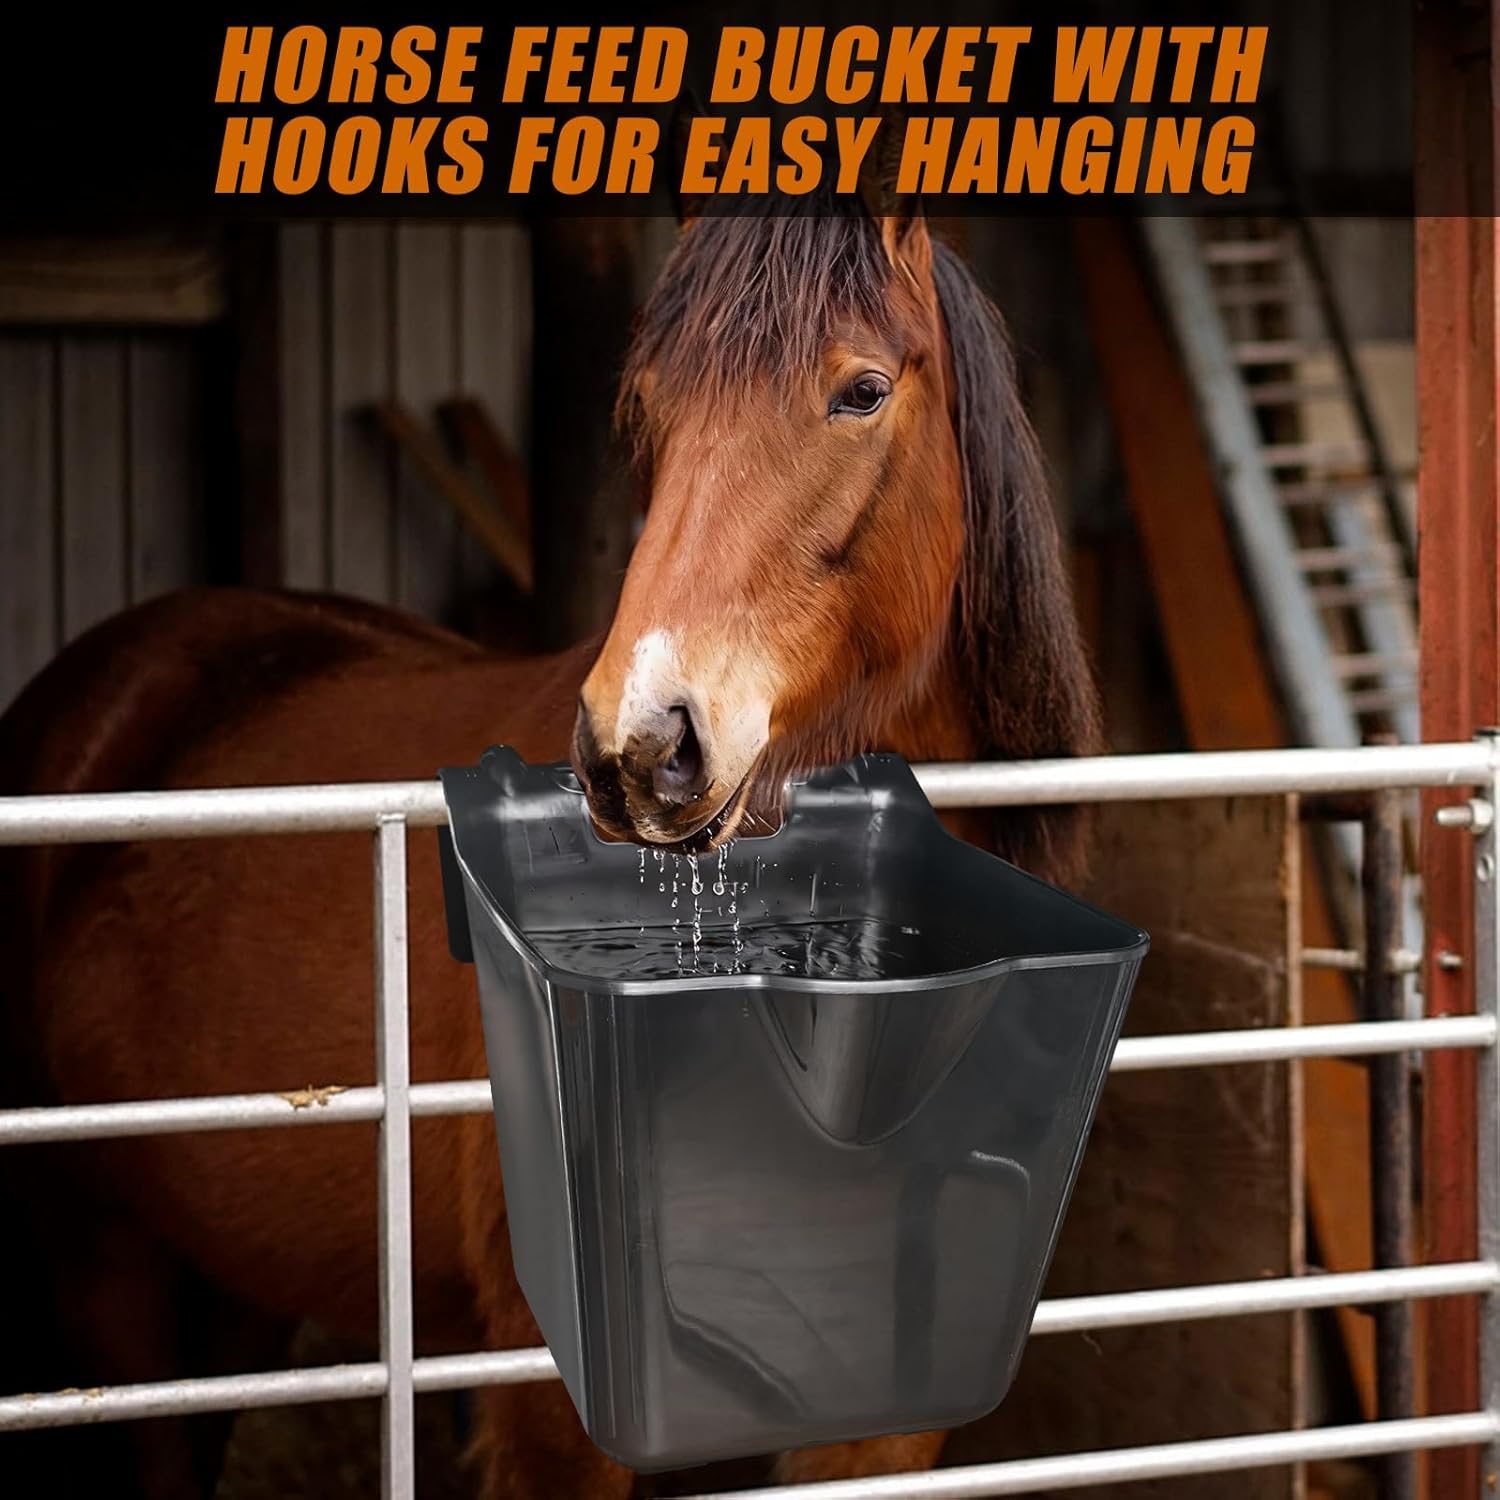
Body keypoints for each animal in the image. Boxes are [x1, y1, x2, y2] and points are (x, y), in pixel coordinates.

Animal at [0, 204, 1099, 1498]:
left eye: (863, 392)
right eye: (651, 406)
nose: (640, 745)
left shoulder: (887, 1425)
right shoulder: (549, 1413)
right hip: (101, 1258)